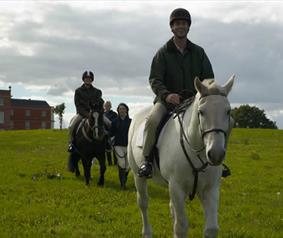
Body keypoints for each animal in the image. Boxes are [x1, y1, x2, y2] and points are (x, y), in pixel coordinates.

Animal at [128, 75, 235, 237]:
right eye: (201, 112)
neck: (197, 151)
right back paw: (147, 232)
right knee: (143, 203)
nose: (216, 154)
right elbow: (181, 227)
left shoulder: (210, 189)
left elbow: (211, 228)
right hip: (138, 175)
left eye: (228, 111)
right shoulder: (176, 187)